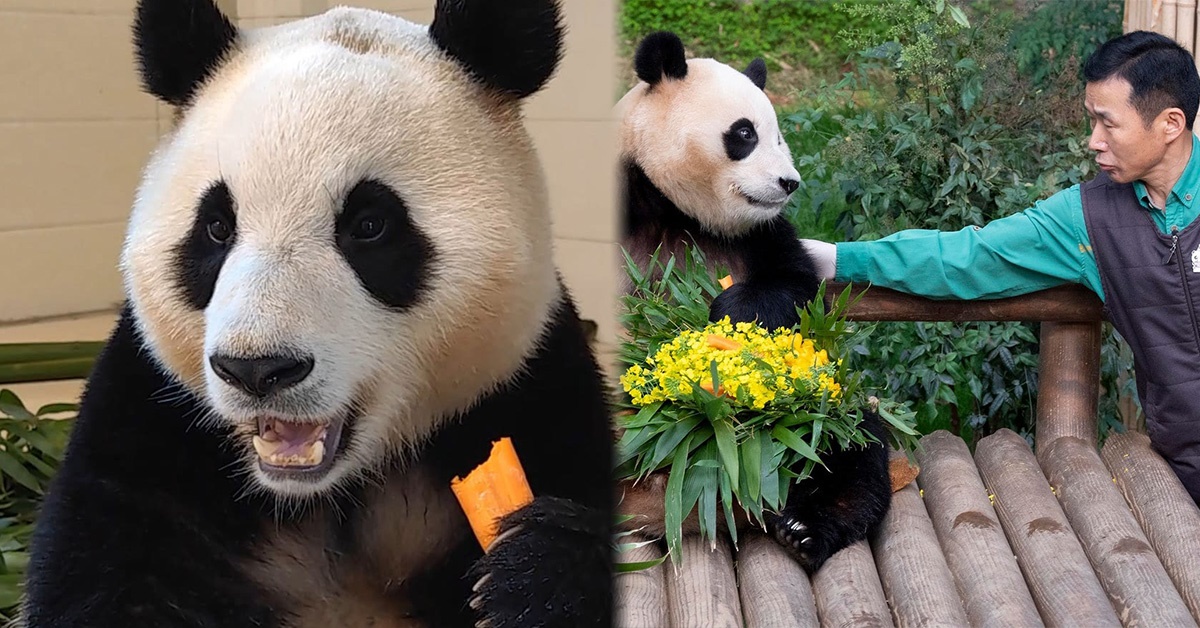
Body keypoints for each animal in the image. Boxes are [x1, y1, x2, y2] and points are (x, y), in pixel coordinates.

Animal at [22, 1, 614, 628]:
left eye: (370, 225)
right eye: (216, 226)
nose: (257, 370)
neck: (323, 492)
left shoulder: (527, 386)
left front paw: (525, 579)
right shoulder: (150, 420)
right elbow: (103, 561)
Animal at [619, 31, 892, 578]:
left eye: (779, 135)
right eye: (744, 133)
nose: (789, 183)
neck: (673, 207)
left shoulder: (761, 233)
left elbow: (793, 287)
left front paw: (727, 315)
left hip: (822, 411)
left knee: (850, 449)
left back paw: (804, 532)